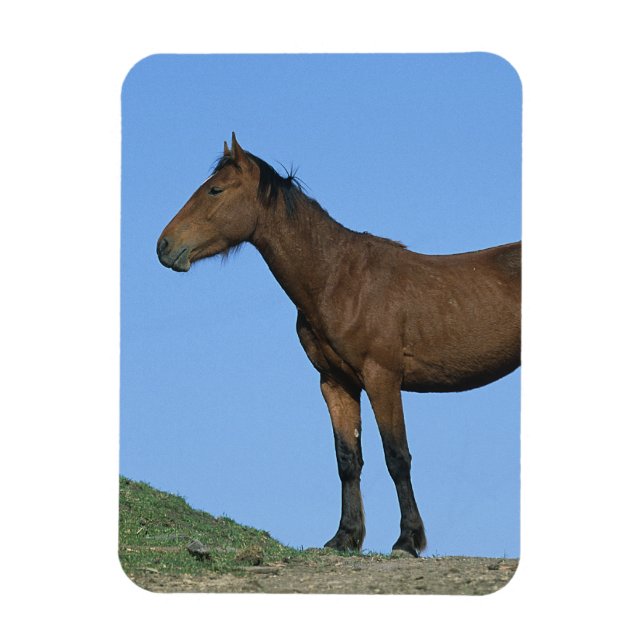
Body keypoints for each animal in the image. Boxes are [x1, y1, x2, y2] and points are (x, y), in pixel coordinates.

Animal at [157, 133, 521, 557]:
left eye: (215, 190)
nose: (164, 246)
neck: (337, 277)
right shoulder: (336, 382)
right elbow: (347, 460)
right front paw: (345, 536)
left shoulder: (382, 378)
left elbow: (396, 457)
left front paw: (407, 539)